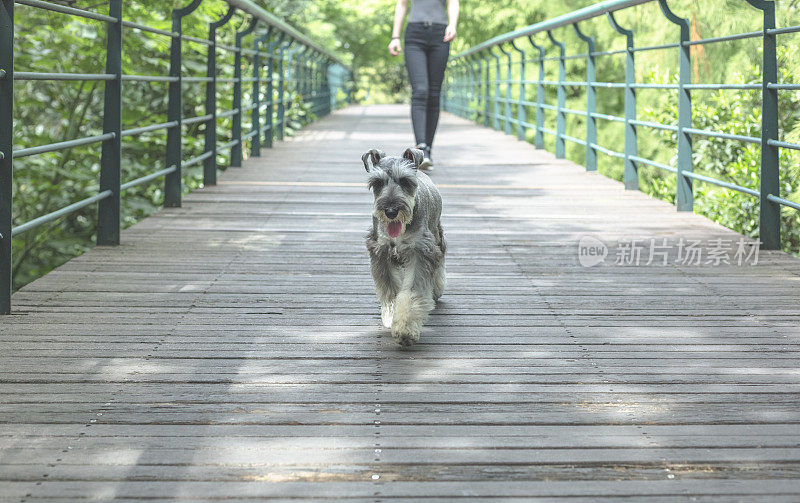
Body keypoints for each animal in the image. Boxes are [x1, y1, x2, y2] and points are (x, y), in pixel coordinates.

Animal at [364, 148, 446, 348]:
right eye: (377, 182)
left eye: (405, 181)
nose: (391, 211)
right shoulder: (381, 251)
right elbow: (392, 291)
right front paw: (392, 316)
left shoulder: (420, 251)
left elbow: (411, 292)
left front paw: (405, 329)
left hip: (437, 237)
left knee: (440, 262)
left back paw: (437, 288)